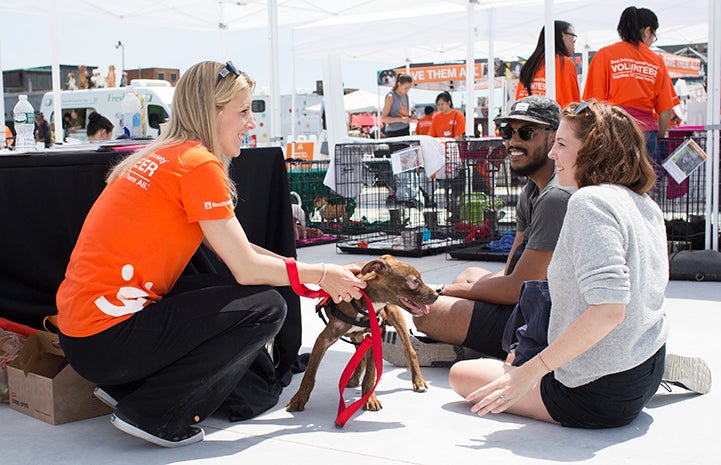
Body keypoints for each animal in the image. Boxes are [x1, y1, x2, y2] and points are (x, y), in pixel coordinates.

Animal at [284, 256, 436, 412]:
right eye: (414, 281)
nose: (436, 295)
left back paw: (418, 381)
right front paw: (298, 399)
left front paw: (370, 399)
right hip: (356, 336)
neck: (365, 304)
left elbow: (370, 374)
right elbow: (309, 374)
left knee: (409, 351)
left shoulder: (374, 337)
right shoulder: (323, 340)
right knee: (361, 358)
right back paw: (354, 378)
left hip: (395, 316)